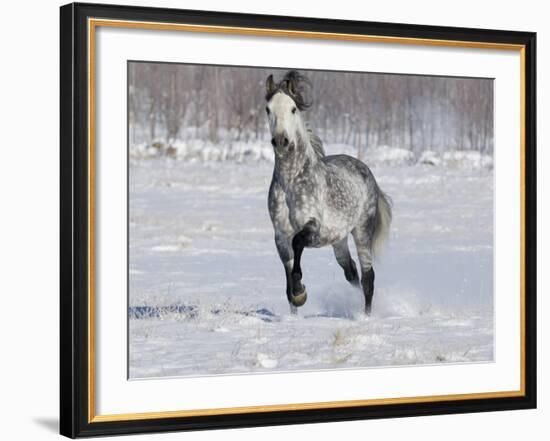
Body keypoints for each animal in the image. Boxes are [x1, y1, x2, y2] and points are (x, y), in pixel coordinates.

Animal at [266, 70, 392, 314]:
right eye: (268, 109)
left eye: (293, 108)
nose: (281, 141)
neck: (290, 183)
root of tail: (367, 172)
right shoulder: (280, 236)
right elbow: (287, 279)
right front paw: (295, 305)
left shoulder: (313, 228)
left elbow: (298, 245)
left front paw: (300, 291)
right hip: (339, 240)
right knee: (351, 272)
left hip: (361, 232)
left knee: (368, 278)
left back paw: (366, 316)